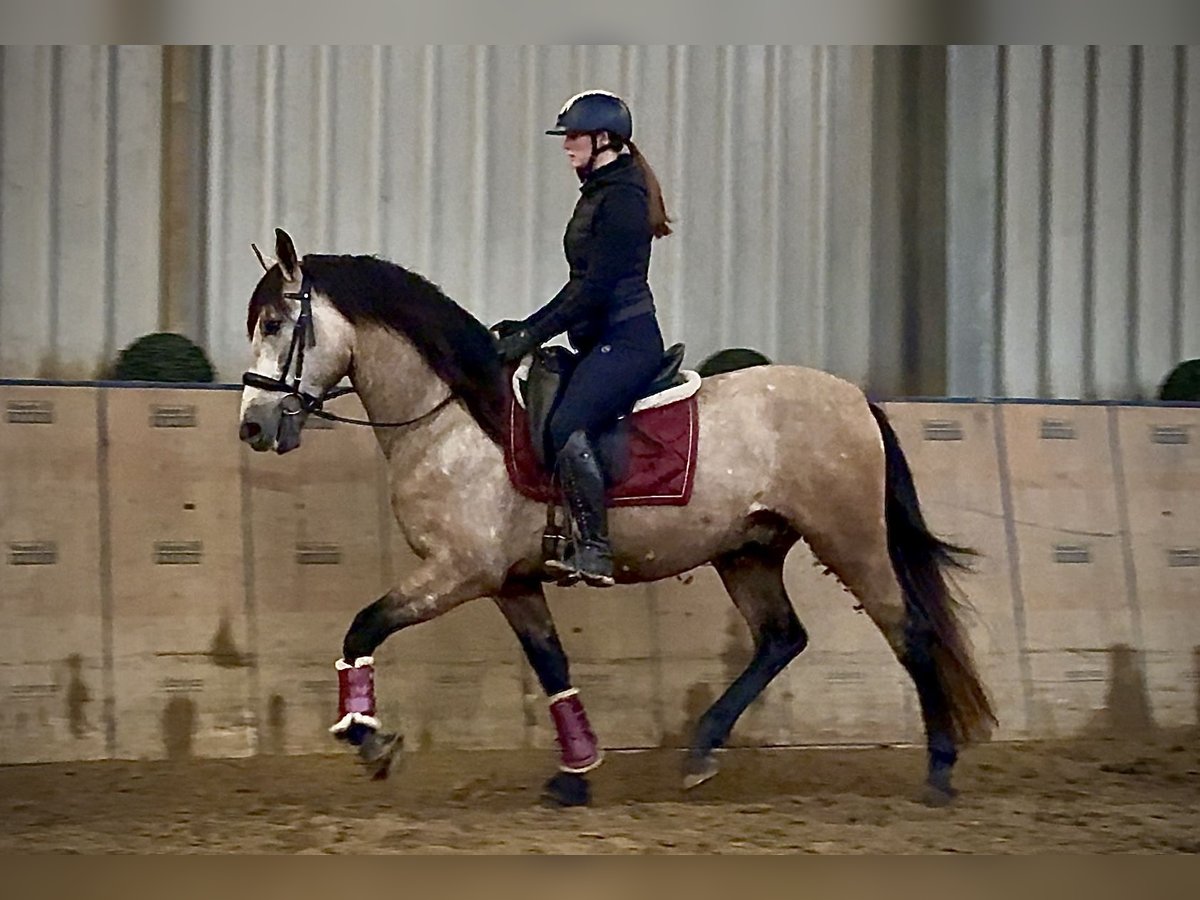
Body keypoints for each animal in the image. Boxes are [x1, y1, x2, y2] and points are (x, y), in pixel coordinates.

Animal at [238, 228, 996, 807]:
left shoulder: (459, 571)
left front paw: (369, 738)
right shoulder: (510, 582)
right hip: (747, 551)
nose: (252, 427)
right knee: (781, 638)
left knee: (908, 630)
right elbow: (551, 663)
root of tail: (857, 399)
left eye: (275, 325)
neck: (452, 416)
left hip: (849, 538)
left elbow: (364, 625)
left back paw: (938, 770)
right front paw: (576, 773)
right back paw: (701, 750)